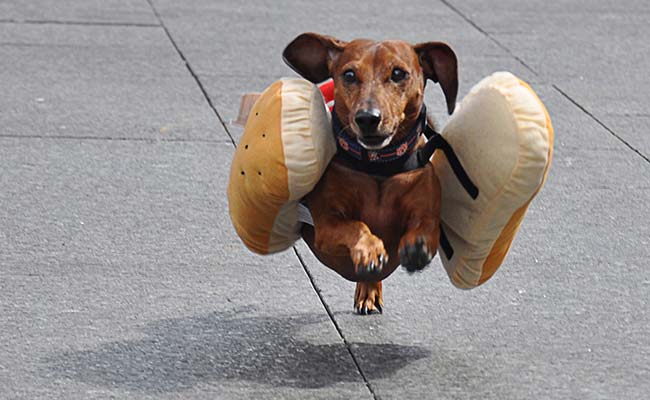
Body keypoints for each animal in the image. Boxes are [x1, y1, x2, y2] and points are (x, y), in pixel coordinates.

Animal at [282, 32, 456, 314]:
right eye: (349, 74)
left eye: (398, 73)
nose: (367, 118)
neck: (378, 167)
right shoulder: (326, 226)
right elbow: (356, 225)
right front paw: (369, 250)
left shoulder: (425, 206)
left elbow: (426, 227)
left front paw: (416, 247)